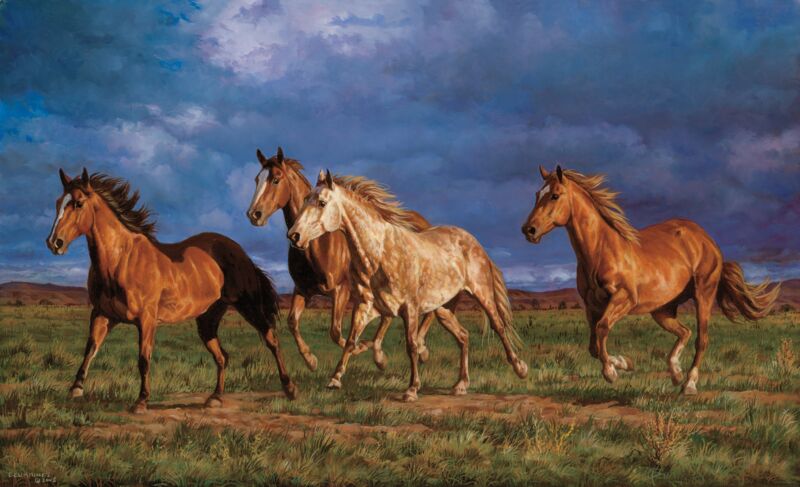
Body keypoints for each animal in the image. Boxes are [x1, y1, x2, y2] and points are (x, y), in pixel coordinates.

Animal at [46, 168, 296, 413]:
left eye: (78, 203)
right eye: (58, 202)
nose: (54, 243)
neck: (121, 260)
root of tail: (240, 252)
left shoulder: (146, 320)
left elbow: (143, 358)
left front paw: (141, 401)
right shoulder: (101, 314)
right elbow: (90, 348)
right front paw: (76, 388)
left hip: (249, 306)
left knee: (271, 339)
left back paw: (290, 389)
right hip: (208, 319)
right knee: (223, 356)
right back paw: (215, 398)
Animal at [245, 147, 443, 371]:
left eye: (276, 179)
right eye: (256, 179)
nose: (254, 214)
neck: (319, 244)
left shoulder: (342, 290)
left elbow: (336, 331)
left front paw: (359, 347)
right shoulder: (302, 289)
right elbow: (292, 322)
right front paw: (311, 360)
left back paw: (417, 348)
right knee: (389, 316)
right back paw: (381, 355)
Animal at [288, 171, 528, 401]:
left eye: (321, 202)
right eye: (306, 199)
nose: (294, 236)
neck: (379, 253)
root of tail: (473, 241)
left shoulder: (409, 309)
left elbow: (411, 345)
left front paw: (411, 389)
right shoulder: (366, 306)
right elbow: (350, 340)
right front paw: (335, 379)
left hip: (482, 294)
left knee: (498, 326)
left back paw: (520, 369)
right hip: (444, 309)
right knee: (463, 336)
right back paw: (460, 385)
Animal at [521, 165, 780, 394]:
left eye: (555, 195)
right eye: (536, 195)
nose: (528, 230)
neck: (601, 249)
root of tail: (707, 239)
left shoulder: (624, 299)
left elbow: (602, 329)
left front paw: (612, 371)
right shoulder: (592, 305)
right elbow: (594, 345)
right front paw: (623, 363)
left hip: (703, 296)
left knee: (701, 339)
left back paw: (689, 384)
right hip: (662, 310)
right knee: (685, 332)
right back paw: (675, 374)